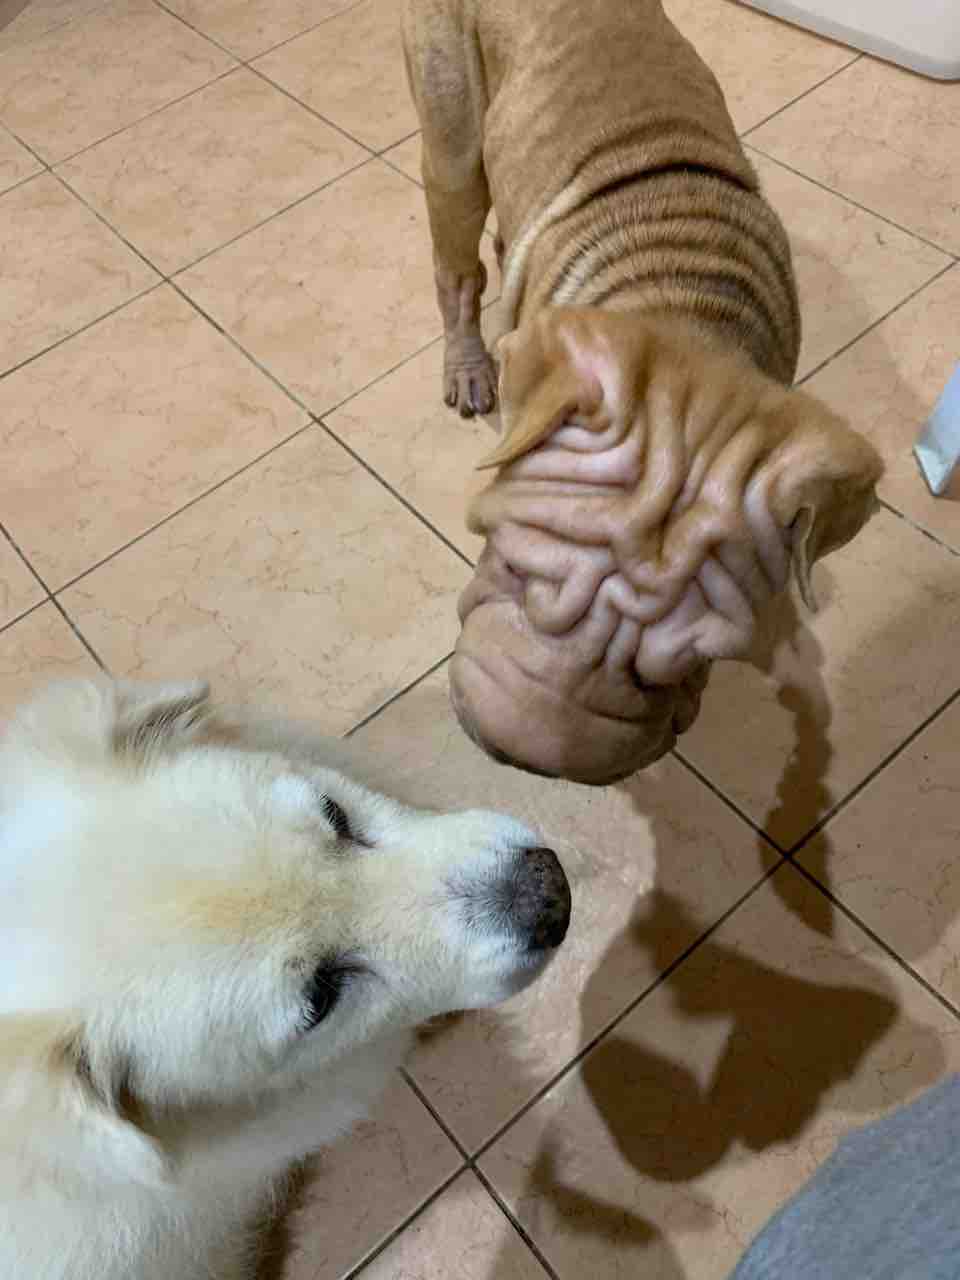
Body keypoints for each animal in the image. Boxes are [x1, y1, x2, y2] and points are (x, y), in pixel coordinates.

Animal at [403, 0, 883, 785]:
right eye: (504, 562)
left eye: (690, 665)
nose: (530, 752)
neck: (682, 302)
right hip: (451, 143)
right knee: (458, 268)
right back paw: (469, 364)